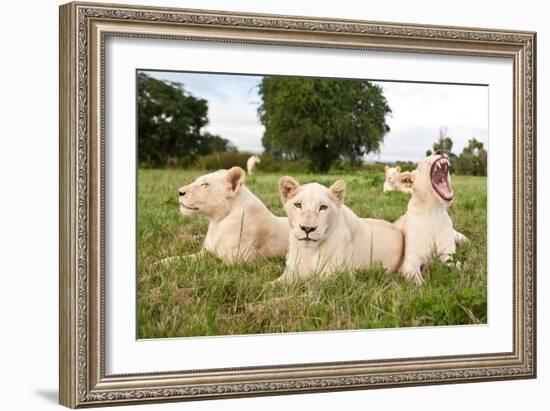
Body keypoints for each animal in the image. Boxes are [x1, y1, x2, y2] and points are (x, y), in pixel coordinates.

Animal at [276, 175, 406, 282]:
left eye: (323, 207)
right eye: (298, 205)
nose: (307, 229)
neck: (311, 251)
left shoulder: (339, 276)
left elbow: (313, 283)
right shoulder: (291, 272)